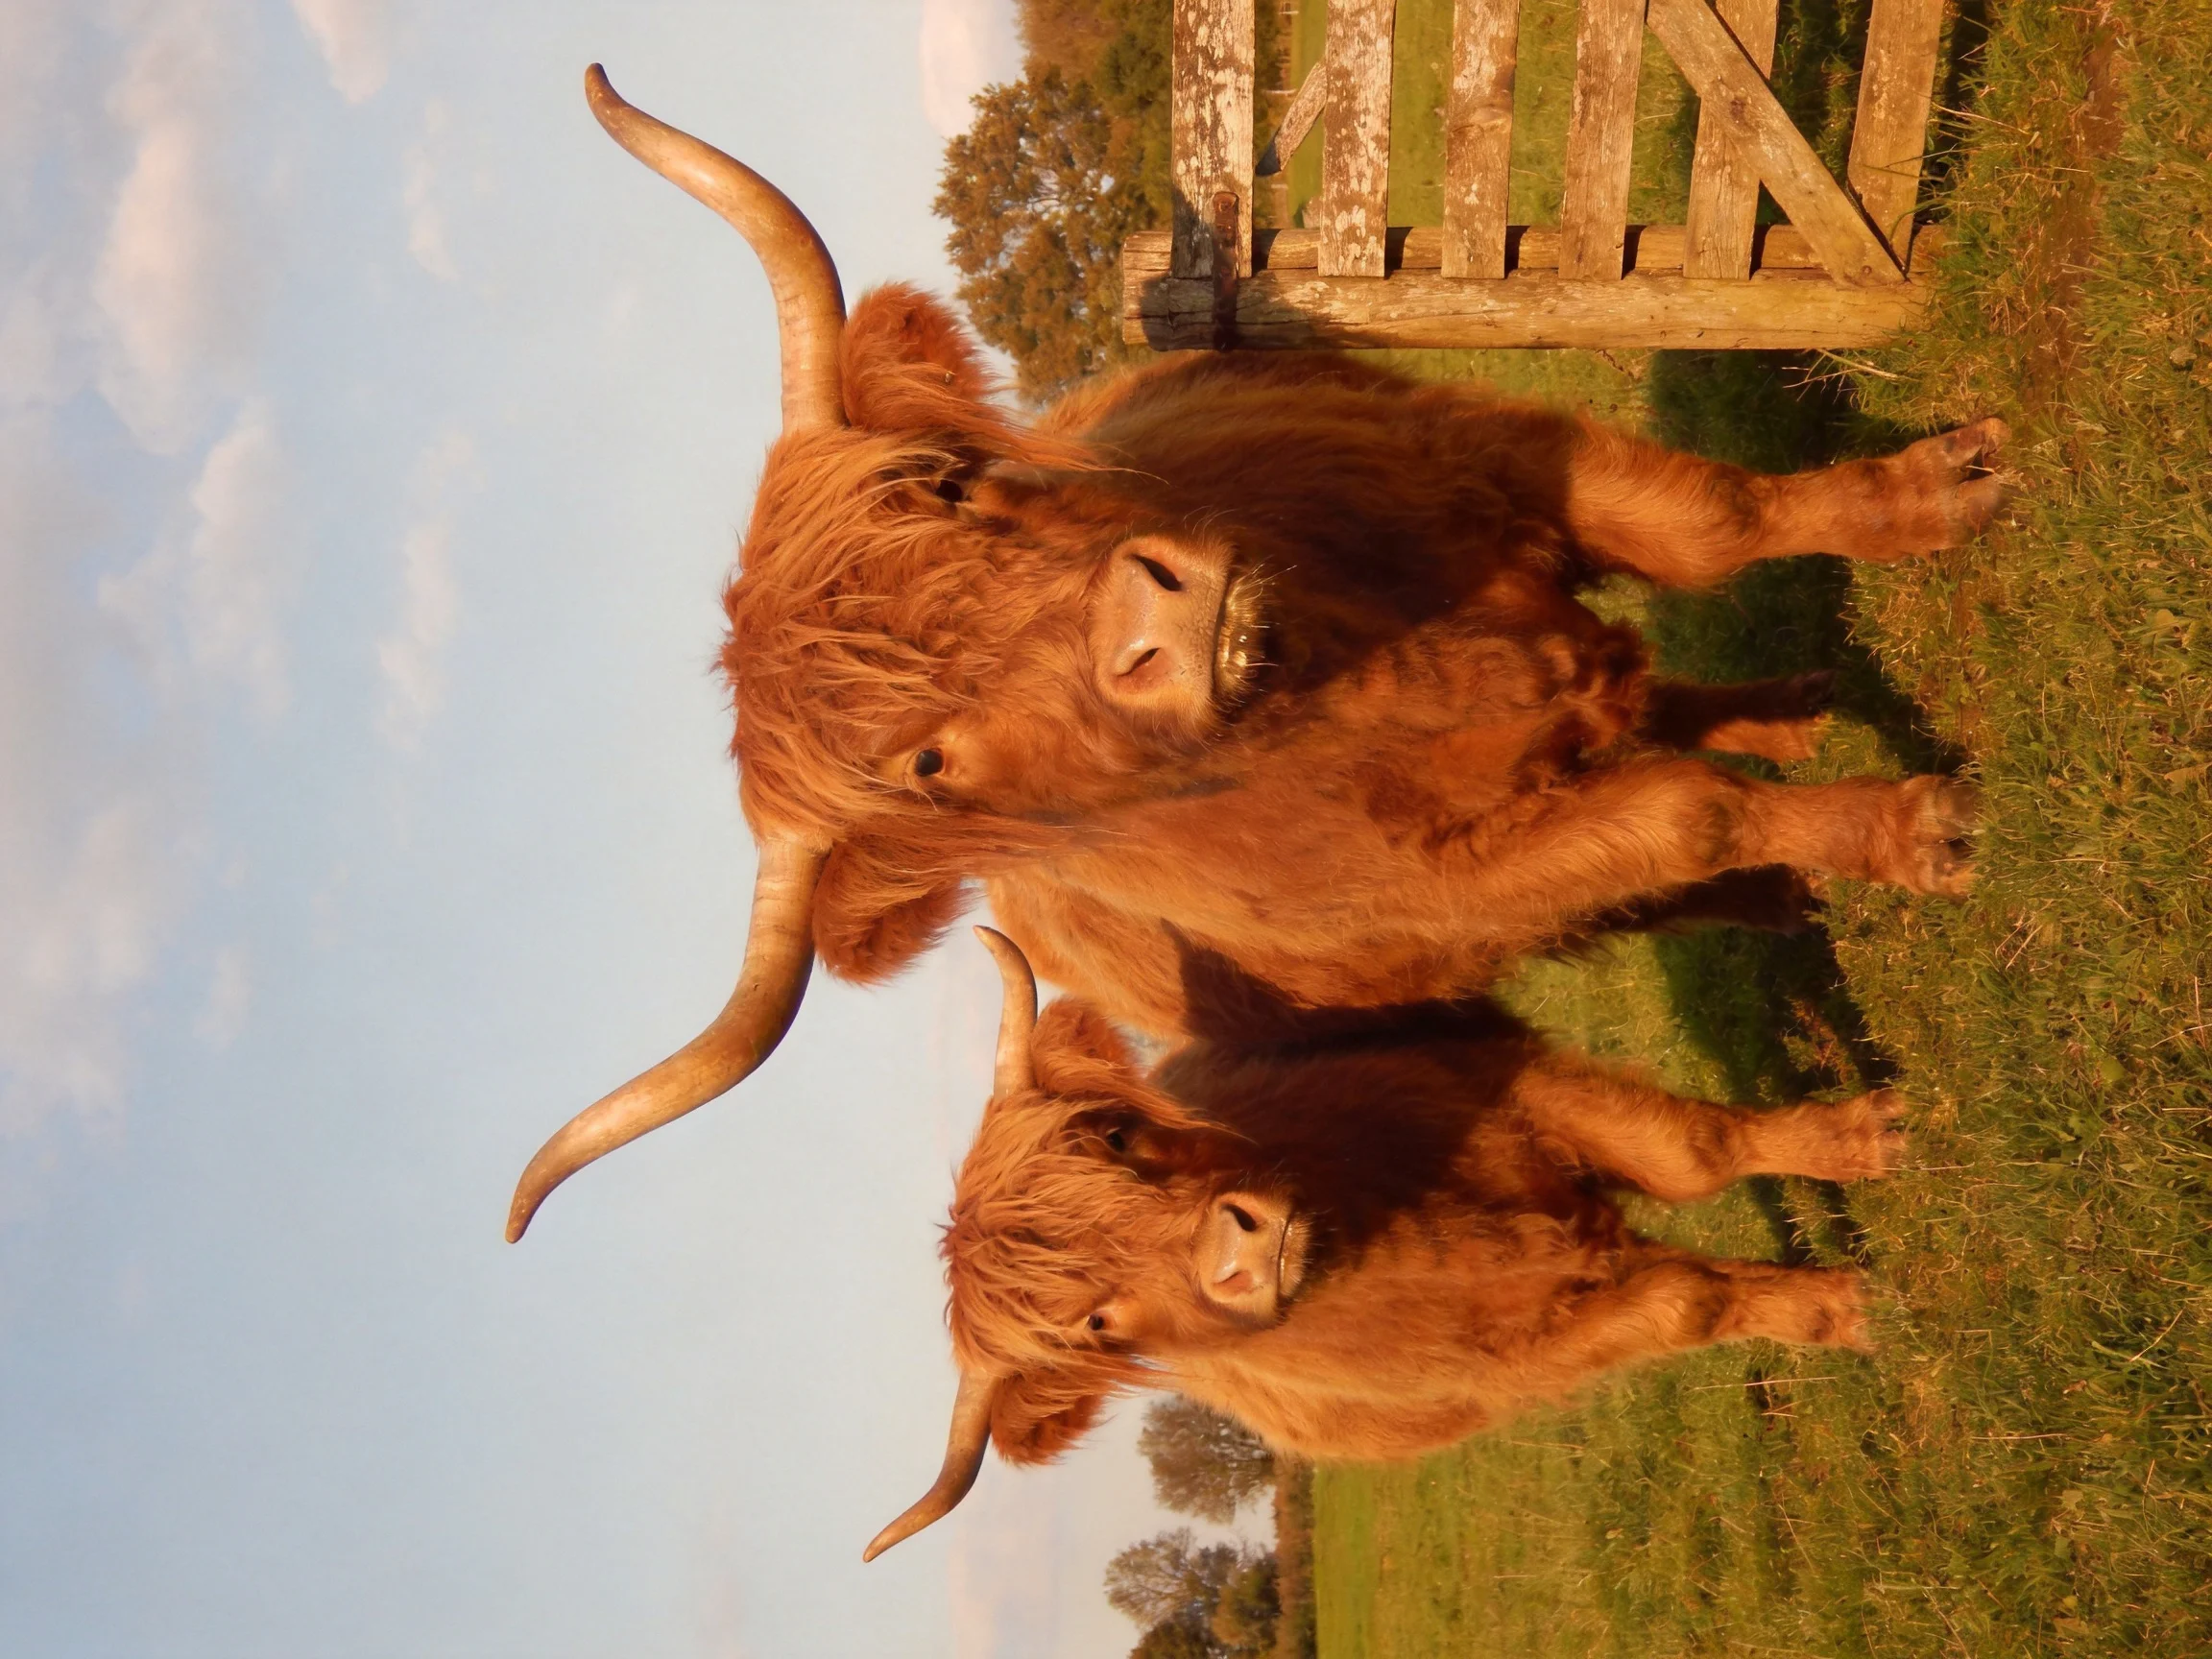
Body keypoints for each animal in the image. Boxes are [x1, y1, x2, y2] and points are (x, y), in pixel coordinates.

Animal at [505, 67, 2004, 1242]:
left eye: (945, 482)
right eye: (923, 768)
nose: (1154, 628)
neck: (1371, 675)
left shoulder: (1496, 455)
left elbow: (1717, 523)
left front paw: (1943, 490)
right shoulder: (1475, 876)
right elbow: (1686, 817)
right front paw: (1913, 830)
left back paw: (1795, 712)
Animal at [862, 929, 1898, 1560]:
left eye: (1115, 1136)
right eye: (1097, 1327)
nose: (1239, 1254)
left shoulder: (1509, 1080)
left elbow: (1693, 1152)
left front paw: (1867, 1138)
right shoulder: (1531, 1352)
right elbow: (1689, 1299)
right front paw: (1840, 1307)